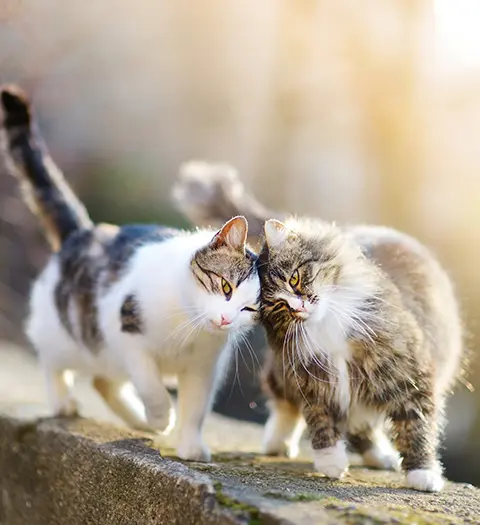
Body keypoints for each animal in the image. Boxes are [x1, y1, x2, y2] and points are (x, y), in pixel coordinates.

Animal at [0, 88, 260, 460]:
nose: (226, 319)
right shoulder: (129, 335)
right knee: (52, 360)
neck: (189, 328)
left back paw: (136, 419)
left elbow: (196, 407)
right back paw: (65, 401)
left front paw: (189, 445)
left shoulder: (204, 368)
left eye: (250, 308)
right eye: (225, 286)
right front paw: (161, 417)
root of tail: (83, 231)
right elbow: (151, 386)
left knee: (102, 380)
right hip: (70, 334)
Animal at [172, 161, 464, 492]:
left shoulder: (405, 373)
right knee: (287, 404)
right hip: (284, 371)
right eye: (278, 307)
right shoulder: (310, 376)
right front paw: (331, 462)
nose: (300, 306)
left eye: (295, 279)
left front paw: (422, 474)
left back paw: (381, 456)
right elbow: (321, 420)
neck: (327, 328)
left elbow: (416, 426)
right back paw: (278, 442)